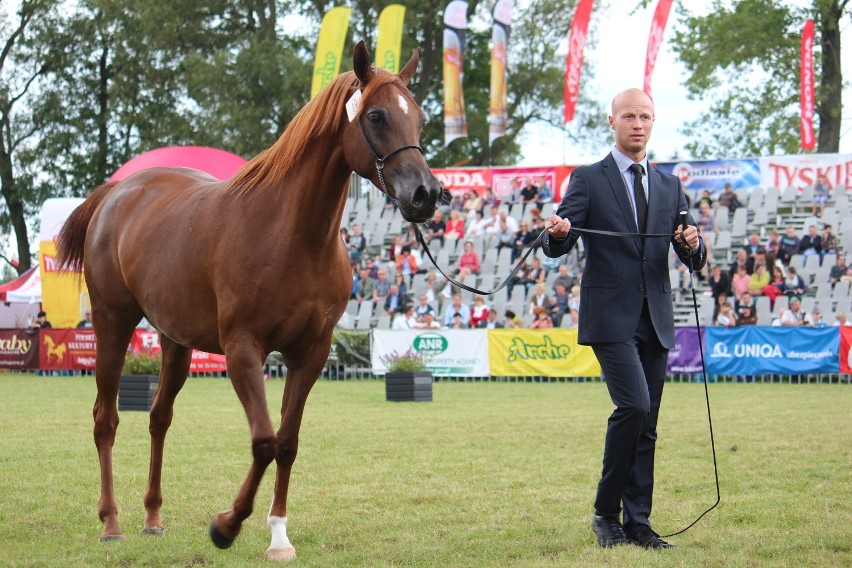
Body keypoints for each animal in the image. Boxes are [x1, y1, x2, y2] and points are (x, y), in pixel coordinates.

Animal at [55, 41, 440, 560]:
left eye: (420, 119)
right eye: (377, 115)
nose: (426, 194)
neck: (290, 234)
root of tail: (118, 191)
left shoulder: (310, 354)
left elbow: (287, 442)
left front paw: (279, 536)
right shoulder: (243, 351)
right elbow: (263, 441)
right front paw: (226, 525)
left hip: (174, 341)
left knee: (158, 418)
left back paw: (153, 517)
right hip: (111, 324)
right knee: (106, 420)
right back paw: (111, 522)